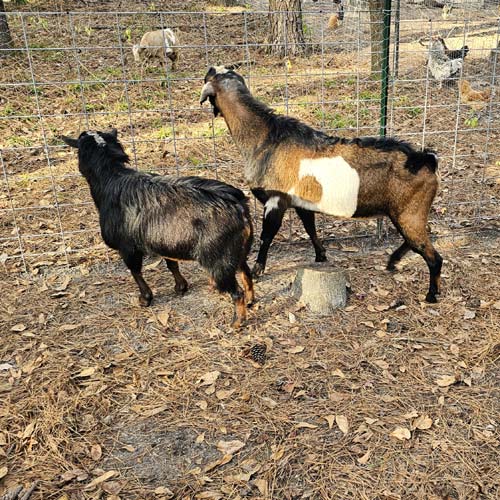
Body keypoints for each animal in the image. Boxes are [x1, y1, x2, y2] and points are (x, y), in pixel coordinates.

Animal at [61, 128, 254, 328]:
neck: (112, 179)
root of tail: (238, 205)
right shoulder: (164, 241)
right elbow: (171, 263)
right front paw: (180, 287)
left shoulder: (127, 247)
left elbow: (135, 271)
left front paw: (145, 298)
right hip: (238, 250)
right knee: (246, 275)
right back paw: (249, 300)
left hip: (218, 258)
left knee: (236, 292)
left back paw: (237, 322)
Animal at [201, 66, 444, 300]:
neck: (266, 139)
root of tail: (425, 160)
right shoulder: (301, 202)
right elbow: (310, 228)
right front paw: (320, 256)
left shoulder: (276, 200)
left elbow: (267, 235)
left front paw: (258, 268)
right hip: (404, 213)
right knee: (415, 241)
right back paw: (393, 261)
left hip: (410, 213)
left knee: (433, 257)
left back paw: (431, 294)